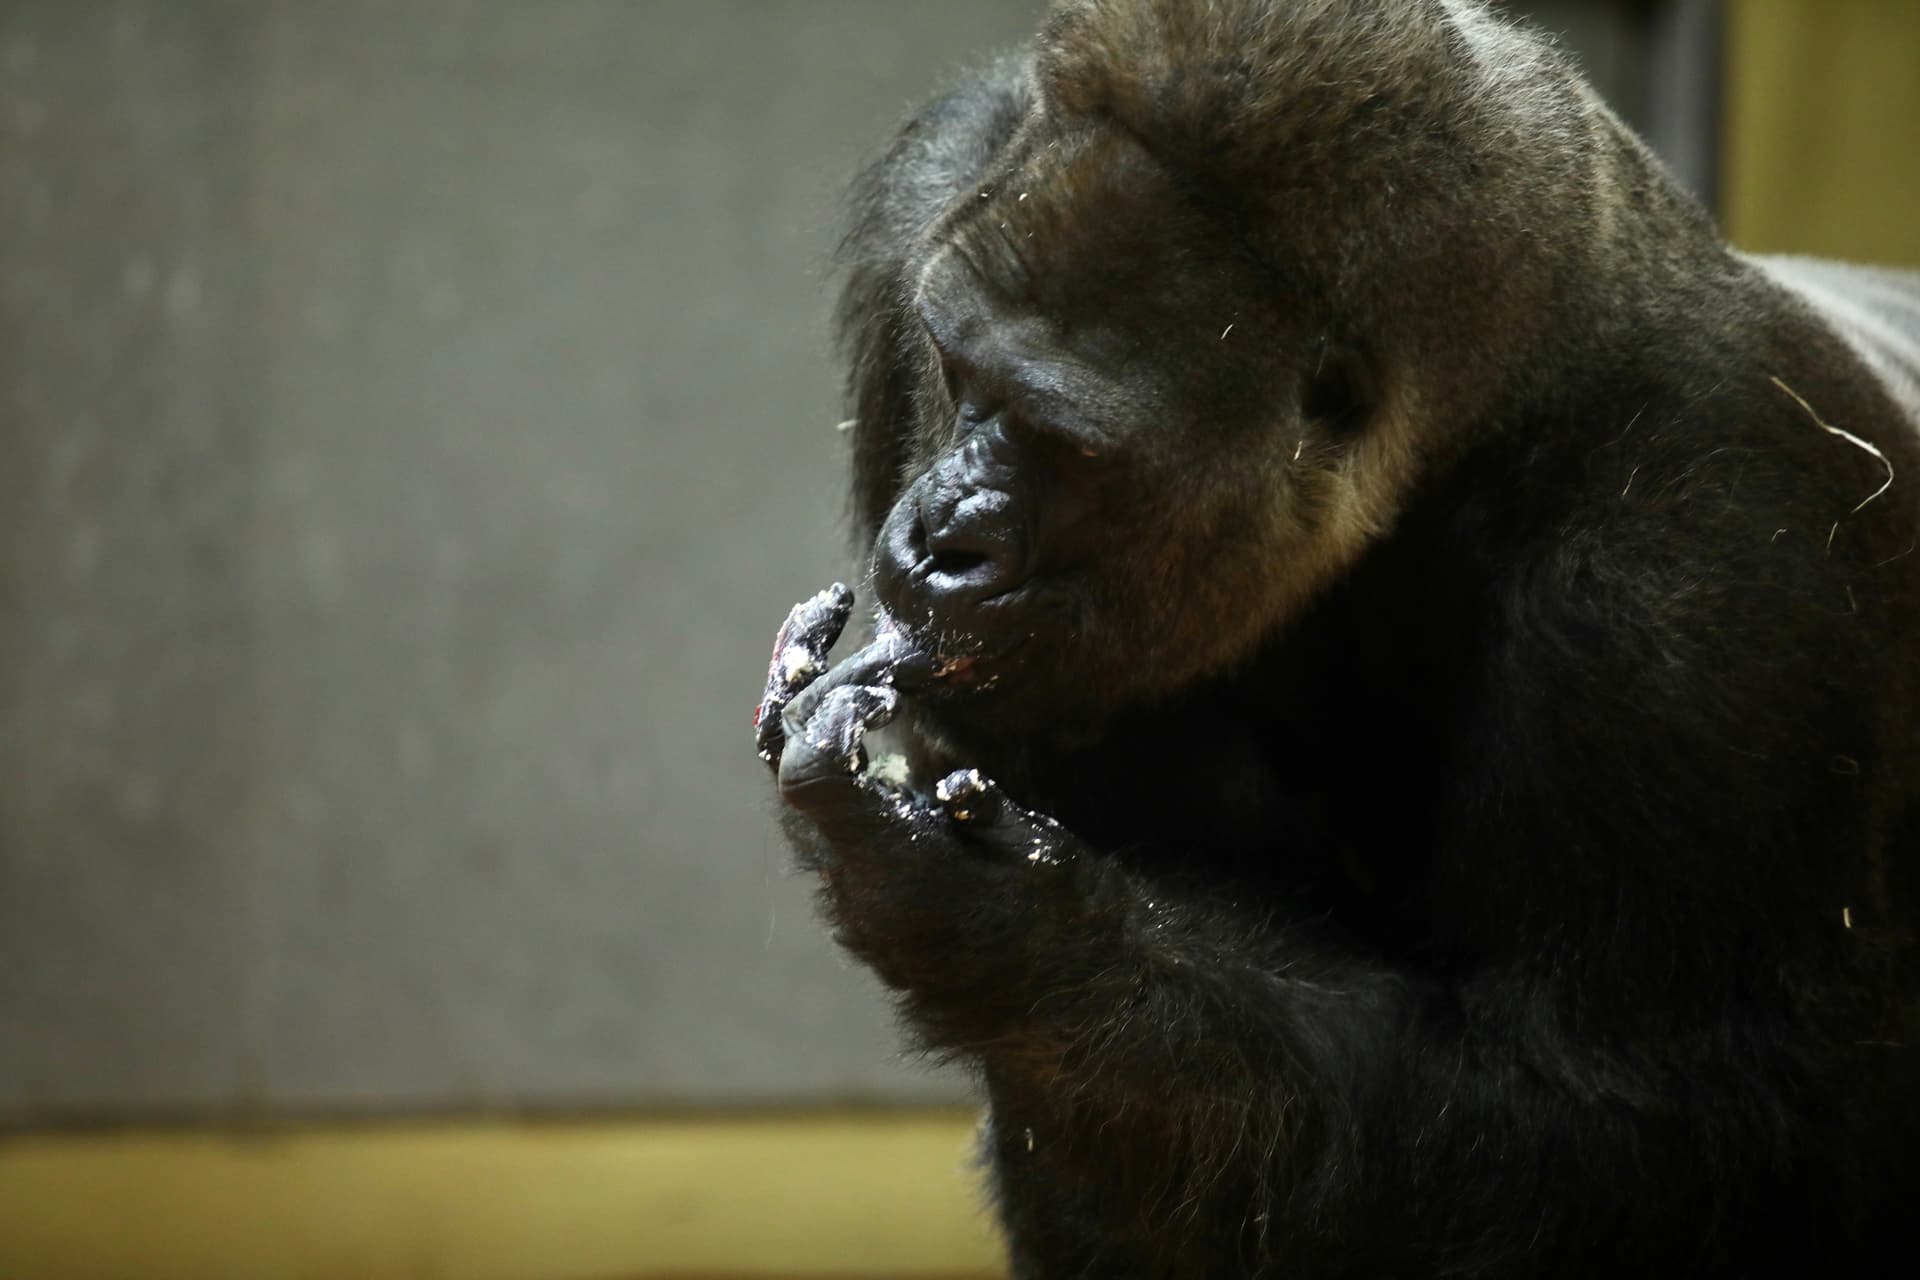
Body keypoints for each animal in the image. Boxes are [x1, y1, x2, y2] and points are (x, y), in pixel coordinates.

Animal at [754, 1, 1920, 1275]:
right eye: (956, 371)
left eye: (1074, 450)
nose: (941, 541)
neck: (1491, 394)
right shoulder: (936, 198)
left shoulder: (1709, 577)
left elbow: (1648, 1125)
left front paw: (1004, 933)